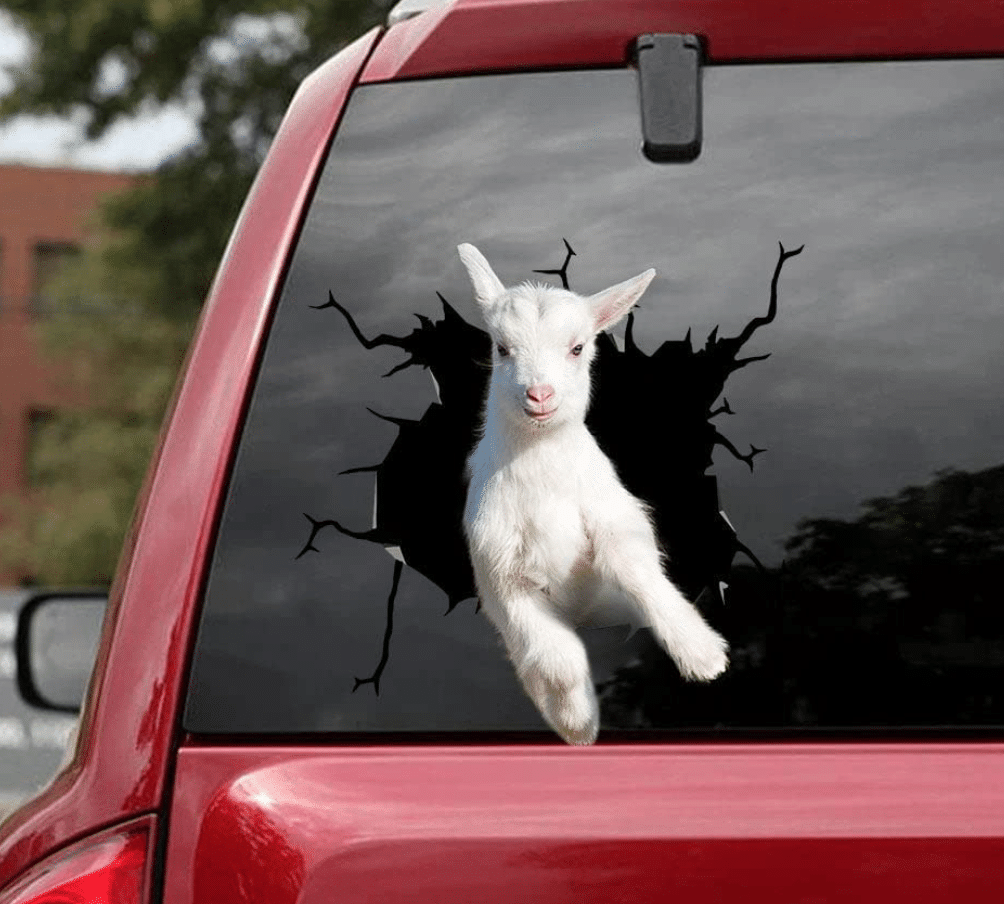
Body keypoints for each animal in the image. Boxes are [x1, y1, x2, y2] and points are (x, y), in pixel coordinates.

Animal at [458, 243, 729, 745]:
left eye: (578, 347)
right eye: (501, 348)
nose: (539, 395)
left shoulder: (615, 517)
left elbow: (640, 573)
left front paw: (704, 656)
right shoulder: (500, 573)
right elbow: (559, 661)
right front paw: (577, 725)